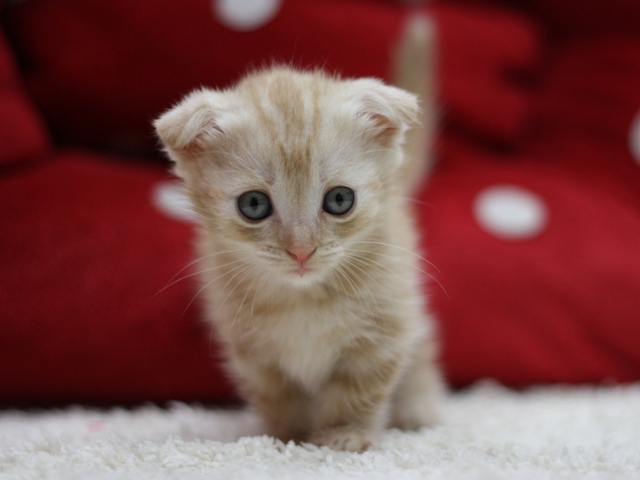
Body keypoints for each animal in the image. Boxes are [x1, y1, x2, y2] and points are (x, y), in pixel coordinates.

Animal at [157, 65, 442, 452]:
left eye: (339, 199)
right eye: (254, 204)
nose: (301, 250)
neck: (302, 298)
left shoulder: (384, 332)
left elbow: (360, 390)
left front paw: (343, 434)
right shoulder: (253, 354)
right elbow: (280, 398)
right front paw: (287, 438)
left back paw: (418, 409)